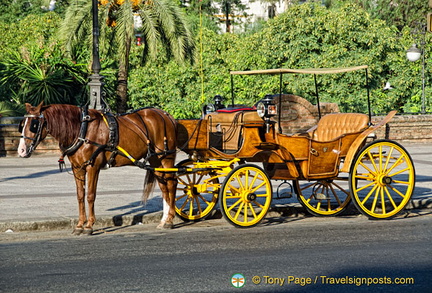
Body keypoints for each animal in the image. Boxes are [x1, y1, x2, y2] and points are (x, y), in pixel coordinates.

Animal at [18, 101, 177, 234]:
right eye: (22, 124)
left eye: (33, 124)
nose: (21, 150)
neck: (82, 129)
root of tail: (166, 115)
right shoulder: (78, 168)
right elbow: (80, 195)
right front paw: (79, 225)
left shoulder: (92, 167)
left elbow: (90, 195)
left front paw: (89, 226)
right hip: (156, 160)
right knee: (163, 185)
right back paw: (164, 220)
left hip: (166, 157)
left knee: (171, 183)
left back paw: (170, 219)